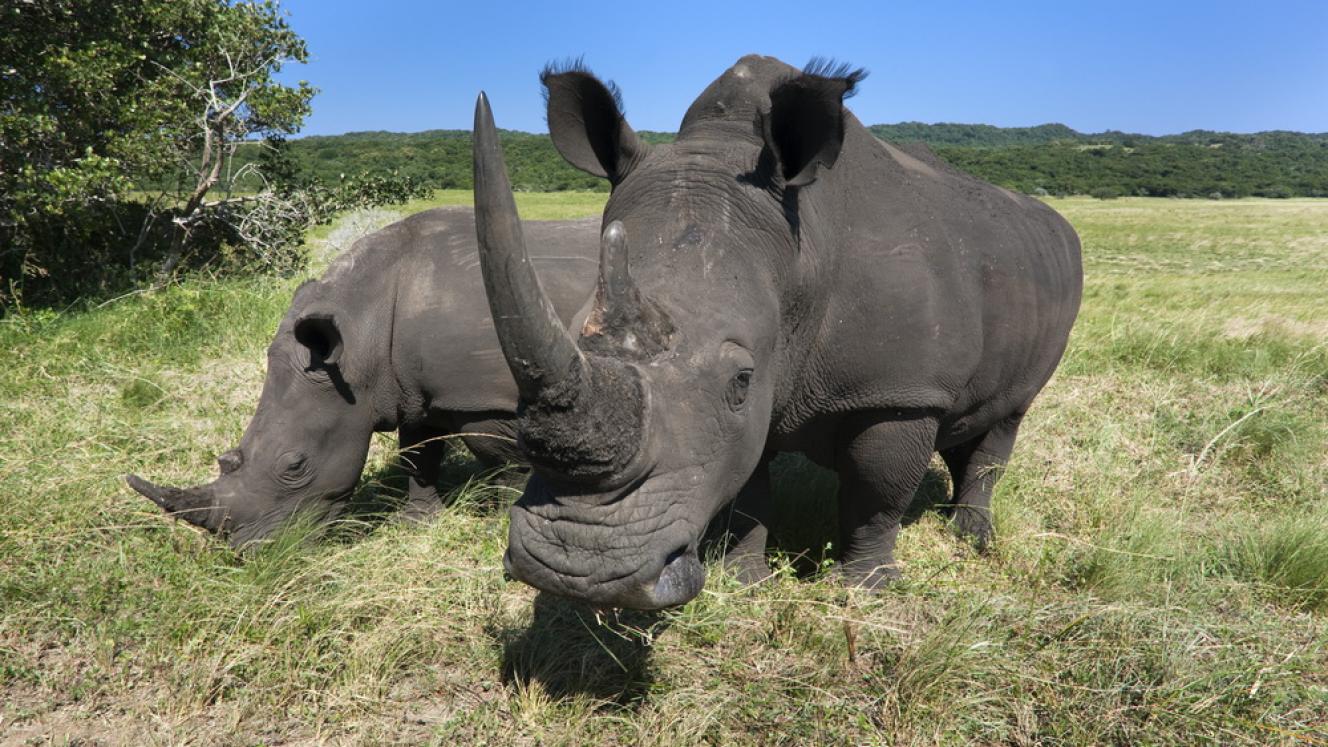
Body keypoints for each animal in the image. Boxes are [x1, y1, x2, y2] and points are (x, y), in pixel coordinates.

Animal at [127, 207, 599, 548]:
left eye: (295, 465)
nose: (251, 552)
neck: (361, 330)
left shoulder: (483, 397)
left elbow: (504, 462)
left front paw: (506, 526)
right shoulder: (412, 387)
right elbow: (418, 452)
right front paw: (418, 523)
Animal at [471, 56, 1083, 610]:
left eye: (740, 381)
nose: (577, 570)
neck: (802, 255)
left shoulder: (901, 393)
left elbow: (876, 494)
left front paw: (866, 592)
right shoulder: (764, 383)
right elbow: (746, 490)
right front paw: (745, 582)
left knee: (1006, 420)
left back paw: (972, 537)